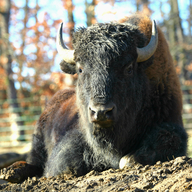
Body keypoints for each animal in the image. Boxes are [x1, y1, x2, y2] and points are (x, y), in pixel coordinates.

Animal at [0, 14, 188, 182]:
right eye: (80, 69)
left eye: (128, 68)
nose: (101, 112)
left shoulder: (172, 125)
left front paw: (128, 160)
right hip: (37, 139)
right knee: (34, 162)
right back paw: (11, 172)